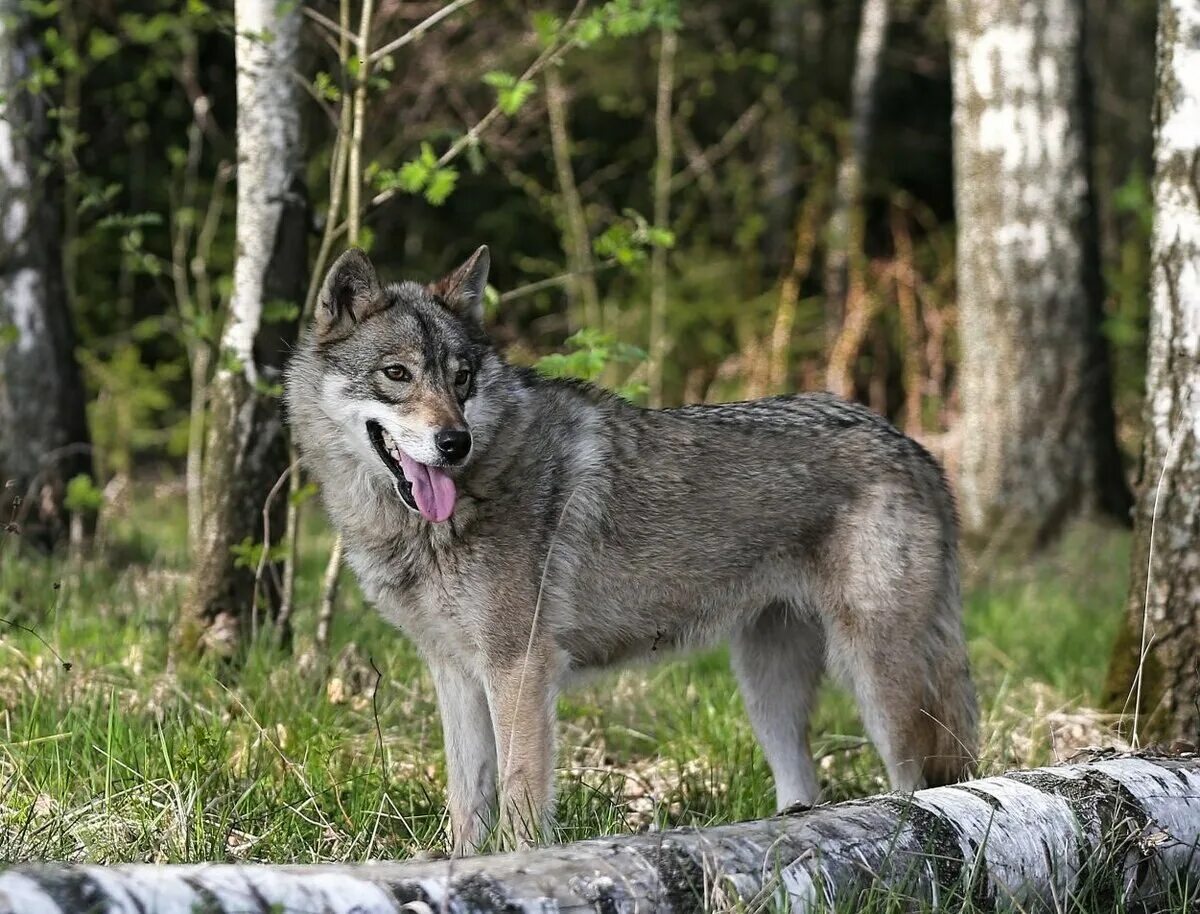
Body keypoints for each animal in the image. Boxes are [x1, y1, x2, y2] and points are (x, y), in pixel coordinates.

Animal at [285, 243, 979, 854]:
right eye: (397, 374)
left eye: (461, 379)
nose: (455, 442)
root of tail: (915, 449)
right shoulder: (455, 673)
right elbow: (467, 803)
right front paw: (464, 868)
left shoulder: (520, 669)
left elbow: (519, 799)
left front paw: (517, 864)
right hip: (767, 690)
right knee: (803, 787)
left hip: (879, 684)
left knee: (922, 790)